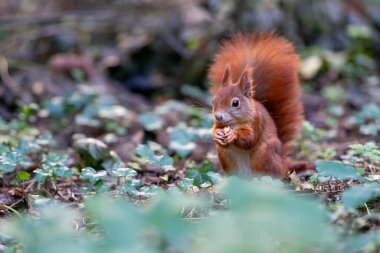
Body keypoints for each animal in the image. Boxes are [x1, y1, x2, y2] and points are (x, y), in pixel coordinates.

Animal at [209, 32, 308, 178]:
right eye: (213, 100)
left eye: (235, 103)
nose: (218, 116)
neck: (233, 123)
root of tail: (282, 162)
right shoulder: (219, 125)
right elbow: (217, 134)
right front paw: (216, 134)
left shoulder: (257, 122)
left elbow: (250, 139)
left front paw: (233, 135)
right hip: (226, 157)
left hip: (263, 154)